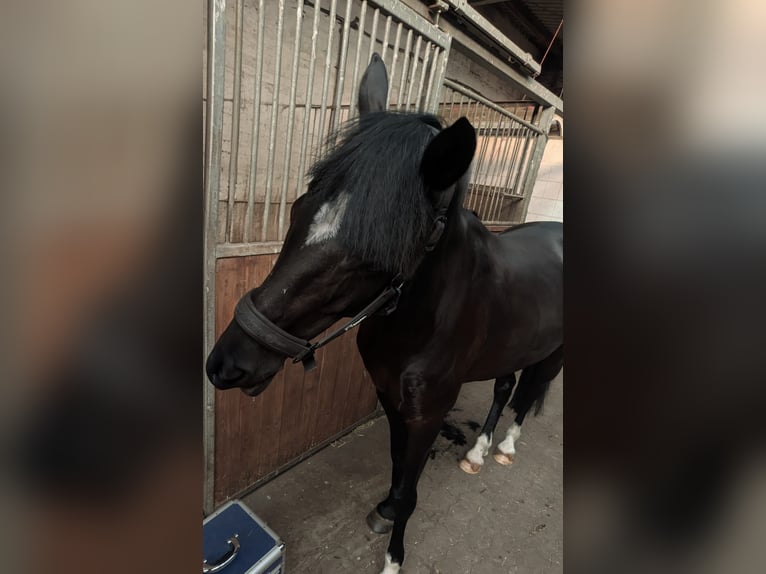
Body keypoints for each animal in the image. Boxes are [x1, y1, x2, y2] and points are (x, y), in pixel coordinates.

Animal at [206, 53, 563, 573]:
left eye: (374, 255)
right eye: (298, 208)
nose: (227, 364)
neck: (421, 325)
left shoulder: (428, 415)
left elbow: (411, 492)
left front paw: (393, 558)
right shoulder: (393, 402)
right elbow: (397, 474)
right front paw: (385, 509)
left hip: (553, 353)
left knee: (532, 389)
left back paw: (506, 448)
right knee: (505, 386)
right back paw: (477, 452)